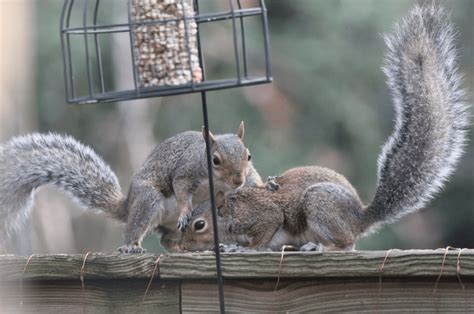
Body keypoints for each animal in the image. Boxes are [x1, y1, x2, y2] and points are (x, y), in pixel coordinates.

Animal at [0, 122, 262, 253]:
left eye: (249, 156)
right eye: (215, 160)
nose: (237, 180)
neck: (218, 182)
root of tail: (126, 205)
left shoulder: (247, 178)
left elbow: (254, 184)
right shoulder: (186, 172)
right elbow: (181, 190)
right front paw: (186, 210)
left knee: (168, 241)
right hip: (148, 200)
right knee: (140, 230)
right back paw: (131, 246)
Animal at [170, 3, 470, 253]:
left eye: (199, 224)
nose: (182, 246)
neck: (231, 211)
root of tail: (359, 218)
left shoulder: (264, 216)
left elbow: (263, 235)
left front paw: (243, 249)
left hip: (319, 206)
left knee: (346, 245)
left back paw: (319, 246)